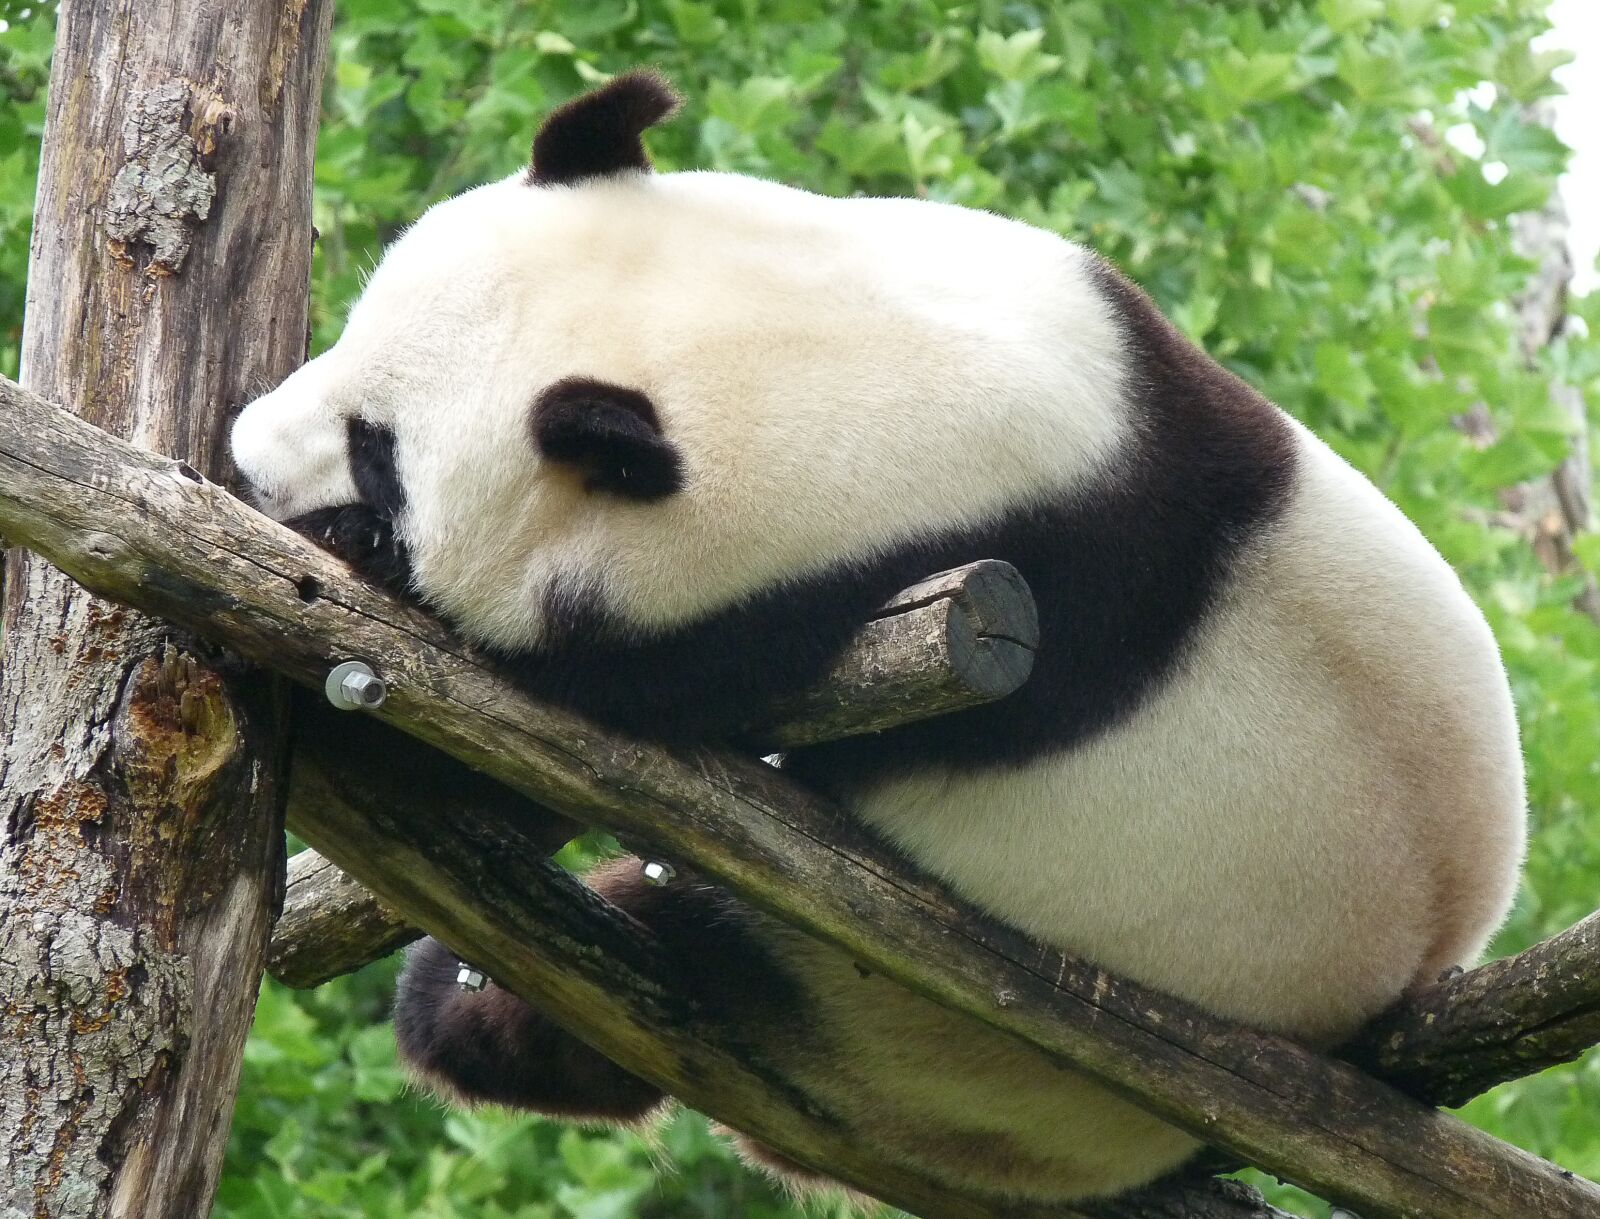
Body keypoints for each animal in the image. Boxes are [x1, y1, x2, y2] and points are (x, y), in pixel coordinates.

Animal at [230, 70, 1526, 1205]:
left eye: (379, 459)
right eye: (353, 330)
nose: (245, 455)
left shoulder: (810, 609)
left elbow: (534, 738)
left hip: (938, 1050)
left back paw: (474, 1004)